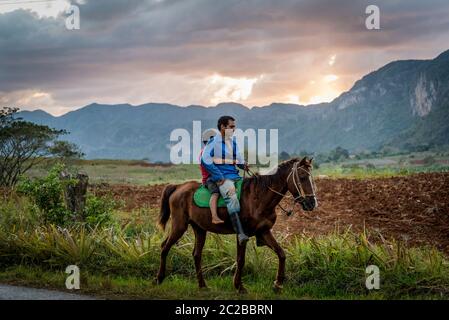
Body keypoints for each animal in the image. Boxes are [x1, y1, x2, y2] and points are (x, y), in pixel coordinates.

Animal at [156, 157, 316, 292]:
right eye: (302, 177)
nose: (312, 203)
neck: (259, 198)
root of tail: (178, 187)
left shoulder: (264, 232)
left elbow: (281, 254)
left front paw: (278, 284)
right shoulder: (242, 234)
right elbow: (241, 259)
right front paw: (239, 286)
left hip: (200, 229)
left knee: (196, 254)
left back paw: (202, 285)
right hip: (179, 226)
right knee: (164, 247)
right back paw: (159, 278)